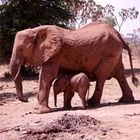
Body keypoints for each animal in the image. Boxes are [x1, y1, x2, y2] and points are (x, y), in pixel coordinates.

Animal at [10, 22, 139, 114]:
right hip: (115, 54)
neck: (36, 30)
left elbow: (47, 75)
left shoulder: (55, 54)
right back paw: (126, 100)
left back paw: (92, 103)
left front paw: (40, 111)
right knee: (120, 75)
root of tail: (120, 36)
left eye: (21, 49)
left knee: (101, 76)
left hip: (110, 53)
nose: (26, 99)